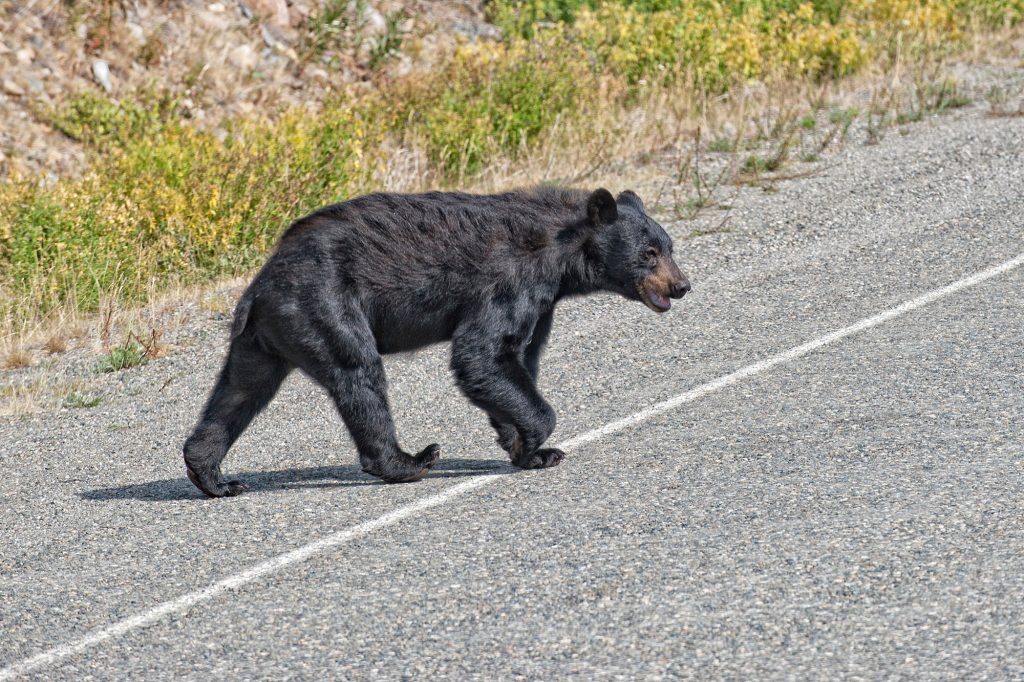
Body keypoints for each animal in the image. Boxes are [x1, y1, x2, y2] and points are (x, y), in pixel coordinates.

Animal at [183, 186, 690, 497]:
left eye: (669, 246)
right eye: (648, 253)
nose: (681, 285)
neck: (561, 256)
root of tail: (260, 284)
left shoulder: (542, 303)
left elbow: (515, 360)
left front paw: (528, 449)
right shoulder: (512, 281)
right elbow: (480, 354)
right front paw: (539, 437)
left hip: (265, 337)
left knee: (239, 391)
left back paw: (212, 476)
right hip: (325, 304)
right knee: (358, 374)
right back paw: (409, 461)